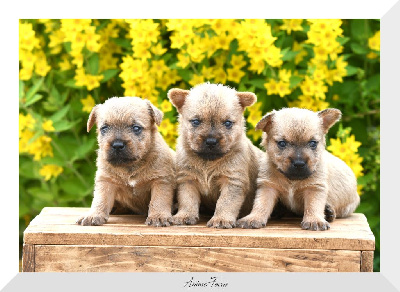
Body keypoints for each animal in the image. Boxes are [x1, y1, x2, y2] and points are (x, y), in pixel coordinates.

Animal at [76, 97, 175, 227]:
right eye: (104, 128)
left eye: (136, 128)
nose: (117, 145)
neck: (130, 167)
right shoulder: (105, 181)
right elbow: (100, 200)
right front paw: (93, 215)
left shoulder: (161, 181)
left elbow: (158, 200)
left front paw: (158, 216)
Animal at [169, 82, 266, 228]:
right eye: (196, 121)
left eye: (227, 123)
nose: (211, 141)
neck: (207, 162)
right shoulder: (187, 179)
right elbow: (187, 200)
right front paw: (184, 215)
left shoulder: (232, 181)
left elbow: (225, 203)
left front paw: (221, 219)